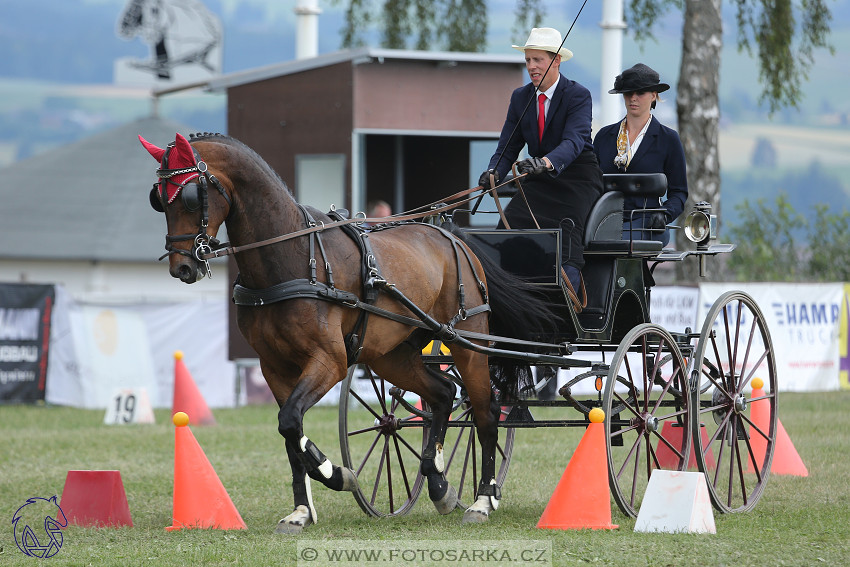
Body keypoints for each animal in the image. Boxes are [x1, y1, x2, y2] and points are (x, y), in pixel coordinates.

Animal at [141, 132, 548, 532]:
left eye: (190, 195)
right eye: (158, 198)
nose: (182, 267)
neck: (290, 258)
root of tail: (455, 237)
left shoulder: (330, 361)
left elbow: (290, 420)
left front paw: (335, 474)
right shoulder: (274, 366)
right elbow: (290, 432)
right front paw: (301, 510)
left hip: (468, 343)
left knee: (485, 411)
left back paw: (483, 498)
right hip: (392, 357)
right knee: (444, 394)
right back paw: (438, 483)